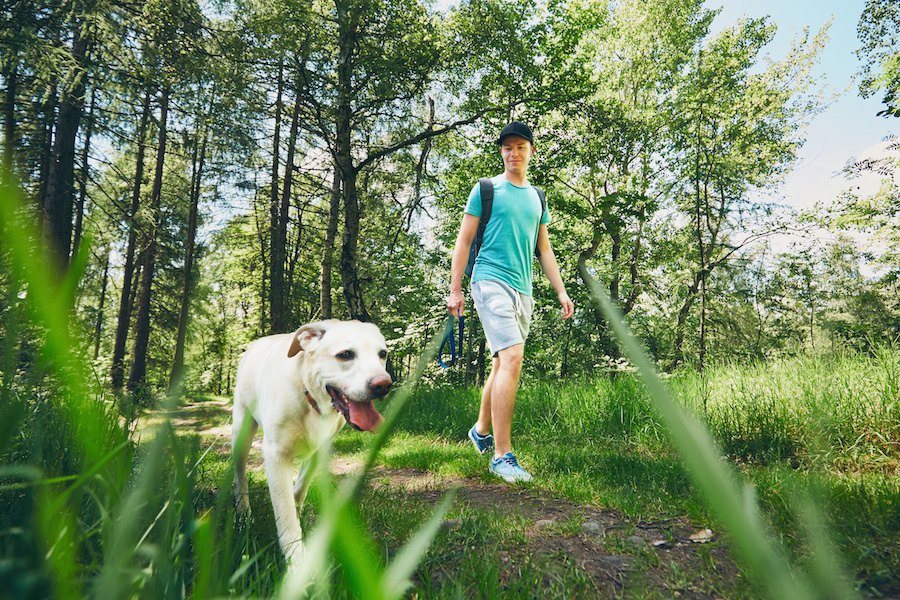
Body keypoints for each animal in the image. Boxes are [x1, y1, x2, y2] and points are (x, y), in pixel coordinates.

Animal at [232, 318, 390, 564]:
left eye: (382, 354)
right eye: (345, 354)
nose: (383, 385)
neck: (310, 399)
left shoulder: (320, 450)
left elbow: (298, 491)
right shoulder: (276, 456)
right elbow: (285, 513)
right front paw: (297, 562)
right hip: (241, 433)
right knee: (240, 476)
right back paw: (243, 514)